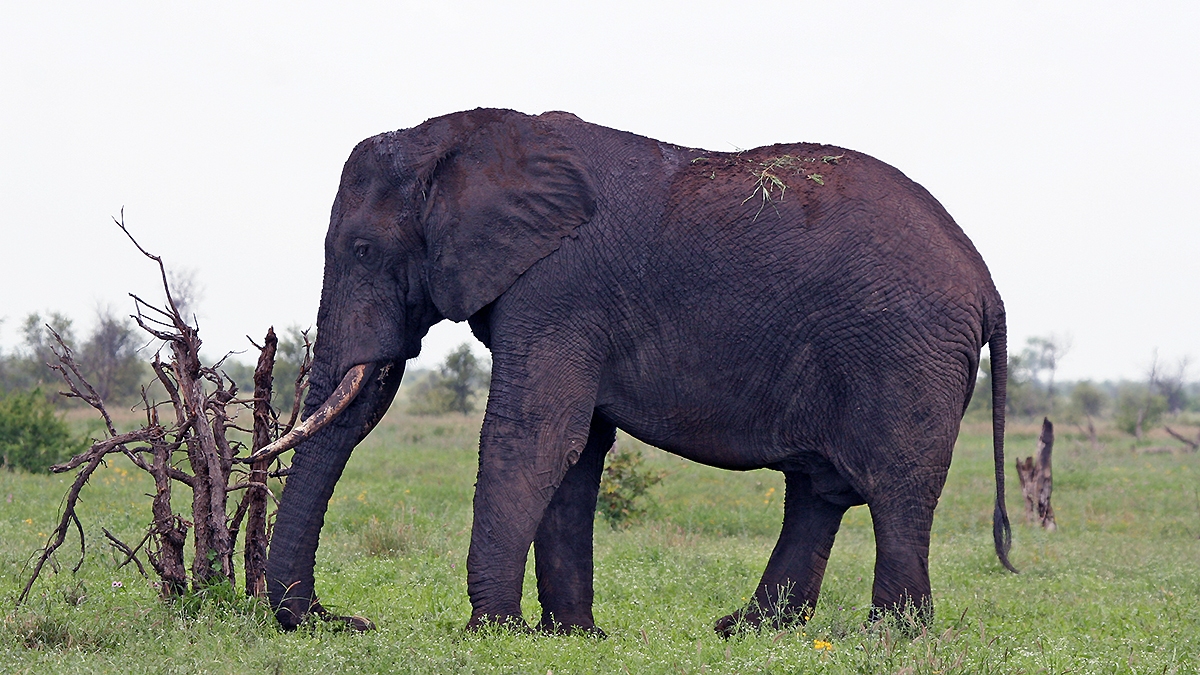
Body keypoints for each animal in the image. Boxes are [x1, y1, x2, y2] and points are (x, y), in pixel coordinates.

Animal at [261, 108, 1015, 636]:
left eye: (362, 248)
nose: (348, 619)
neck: (468, 136)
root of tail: (987, 283)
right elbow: (578, 450)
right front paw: (569, 637)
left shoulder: (560, 286)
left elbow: (534, 437)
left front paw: (491, 631)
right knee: (817, 491)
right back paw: (746, 631)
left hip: (906, 350)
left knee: (895, 489)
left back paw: (889, 638)